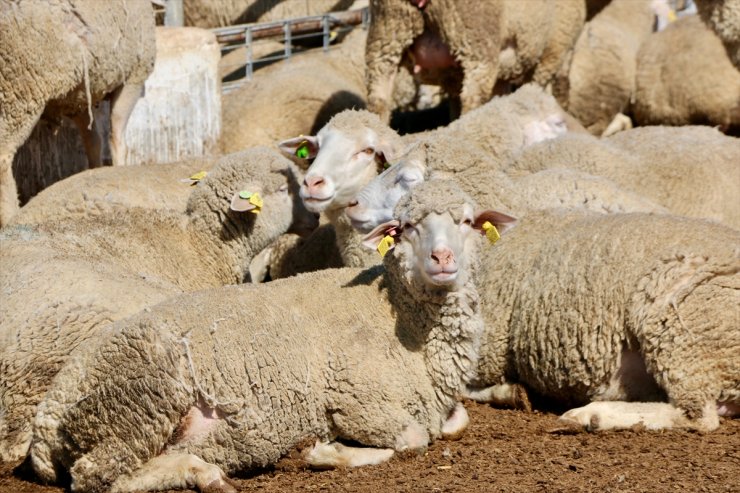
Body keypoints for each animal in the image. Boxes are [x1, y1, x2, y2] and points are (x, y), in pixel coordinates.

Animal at [0, 0, 156, 226]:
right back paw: (11, 217)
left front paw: (93, 175)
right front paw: (118, 173)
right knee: (3, 155)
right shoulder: (133, 75)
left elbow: (94, 142)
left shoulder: (79, 97)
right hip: (20, 89)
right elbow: (117, 140)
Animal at [26, 180, 506, 492]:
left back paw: (204, 469)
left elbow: (455, 423)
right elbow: (413, 441)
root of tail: (47, 415)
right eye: (406, 227)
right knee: (96, 474)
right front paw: (326, 453)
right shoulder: (356, 397)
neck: (398, 317)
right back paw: (204, 472)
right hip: (141, 394)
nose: (442, 258)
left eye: (467, 222)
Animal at [364, 0, 584, 122]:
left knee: (379, 96)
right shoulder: (555, 51)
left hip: (389, 27)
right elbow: (554, 90)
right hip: (475, 36)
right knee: (473, 96)